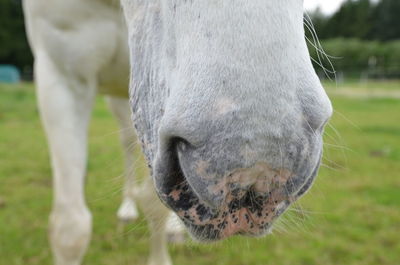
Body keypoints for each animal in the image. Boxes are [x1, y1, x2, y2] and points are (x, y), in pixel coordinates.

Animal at [23, 0, 332, 262]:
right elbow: (70, 229)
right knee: (126, 144)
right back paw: (127, 208)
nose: (256, 165)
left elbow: (155, 206)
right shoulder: (60, 76)